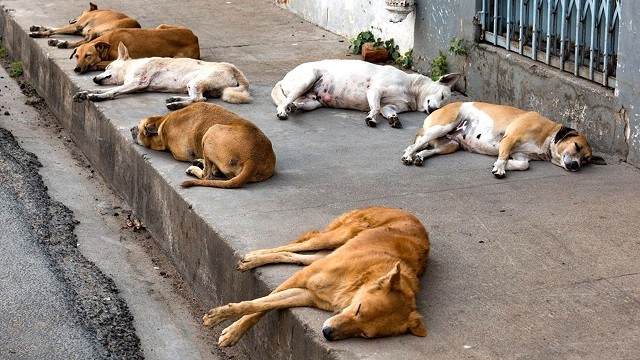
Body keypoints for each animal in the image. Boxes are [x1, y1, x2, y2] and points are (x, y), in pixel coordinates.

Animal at [66, 24, 199, 73]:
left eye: (88, 55)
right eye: (76, 56)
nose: (76, 69)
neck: (109, 43)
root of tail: (194, 37)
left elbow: (99, 63)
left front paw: (94, 65)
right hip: (160, 27)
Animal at [132, 102, 276, 188]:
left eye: (138, 127)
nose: (130, 129)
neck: (162, 122)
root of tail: (253, 159)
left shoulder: (180, 153)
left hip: (211, 131)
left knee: (206, 175)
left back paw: (196, 169)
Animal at [204, 207, 430, 348]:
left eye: (364, 334)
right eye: (358, 309)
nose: (327, 334)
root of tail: (408, 213)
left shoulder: (306, 295)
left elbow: (263, 306)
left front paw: (231, 329)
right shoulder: (300, 279)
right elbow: (255, 306)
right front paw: (226, 325)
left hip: (327, 252)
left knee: (296, 255)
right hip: (335, 237)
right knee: (298, 244)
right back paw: (253, 257)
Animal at [270, 60, 460, 129]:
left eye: (442, 105)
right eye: (442, 96)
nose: (432, 110)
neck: (412, 90)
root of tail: (283, 79)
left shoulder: (388, 107)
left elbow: (387, 111)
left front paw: (394, 120)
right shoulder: (375, 91)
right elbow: (374, 108)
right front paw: (371, 118)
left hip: (313, 102)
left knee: (298, 103)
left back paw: (294, 107)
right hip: (307, 78)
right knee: (283, 104)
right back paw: (283, 111)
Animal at [402, 102, 608, 178]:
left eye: (586, 160)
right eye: (576, 146)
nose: (575, 166)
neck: (547, 136)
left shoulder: (521, 156)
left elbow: (523, 165)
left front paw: (505, 165)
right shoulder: (510, 139)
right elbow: (503, 156)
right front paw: (500, 167)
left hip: (450, 145)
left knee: (427, 149)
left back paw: (419, 157)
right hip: (441, 127)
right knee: (413, 145)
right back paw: (409, 156)